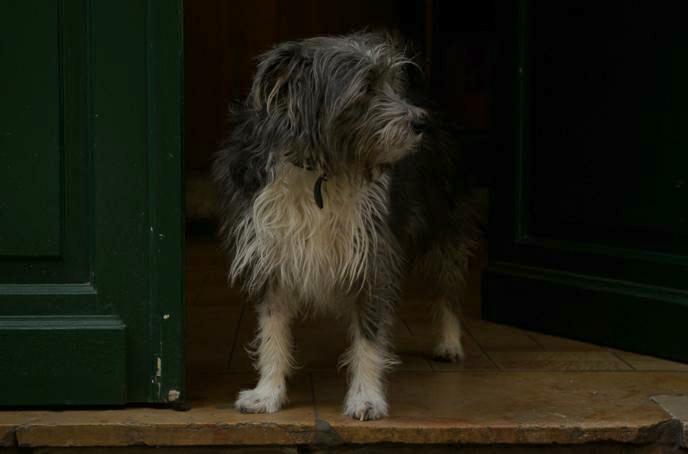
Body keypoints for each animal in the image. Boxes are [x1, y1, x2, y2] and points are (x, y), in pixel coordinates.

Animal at [212, 32, 482, 422]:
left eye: (393, 83)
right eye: (366, 87)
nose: (422, 123)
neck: (322, 167)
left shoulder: (373, 253)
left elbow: (368, 335)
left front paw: (366, 397)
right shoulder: (271, 252)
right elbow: (272, 330)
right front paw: (268, 393)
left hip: (445, 223)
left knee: (448, 284)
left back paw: (449, 341)